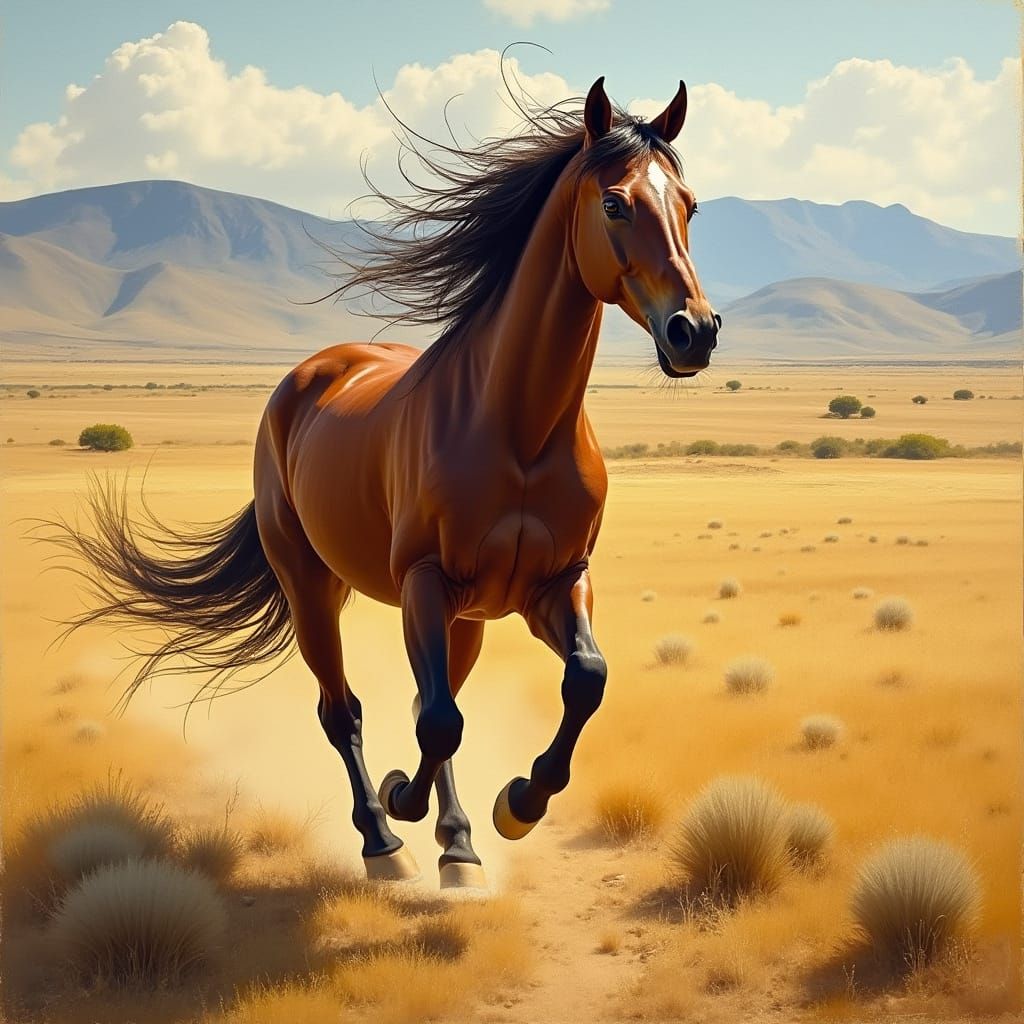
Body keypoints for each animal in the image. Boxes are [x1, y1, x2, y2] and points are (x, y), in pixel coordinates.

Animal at [54, 77, 720, 889]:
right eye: (617, 204)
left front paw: (517, 804)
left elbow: (582, 680)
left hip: (464, 613)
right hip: (313, 586)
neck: (519, 429)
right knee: (345, 711)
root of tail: (309, 377)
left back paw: (458, 842)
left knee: (433, 700)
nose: (694, 331)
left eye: (689, 204)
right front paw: (408, 801)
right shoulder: (424, 581)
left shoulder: (554, 583)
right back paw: (383, 839)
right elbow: (436, 720)